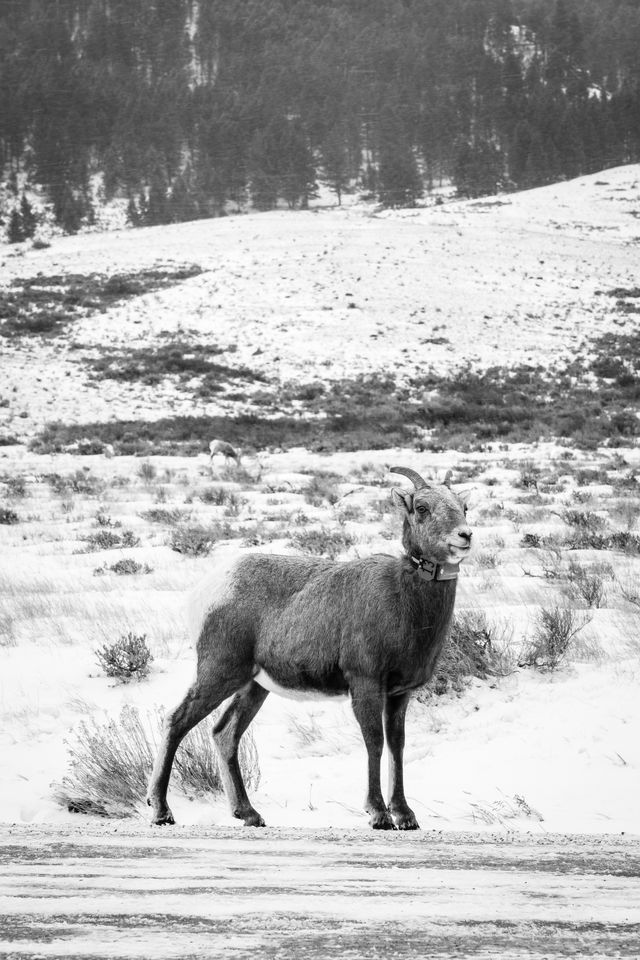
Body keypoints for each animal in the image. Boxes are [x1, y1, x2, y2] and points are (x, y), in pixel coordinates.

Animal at [149, 468, 470, 828]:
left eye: (464, 507)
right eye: (422, 508)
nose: (464, 535)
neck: (406, 602)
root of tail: (207, 590)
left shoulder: (400, 694)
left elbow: (396, 746)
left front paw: (405, 815)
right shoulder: (366, 684)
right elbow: (374, 742)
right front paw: (378, 814)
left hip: (253, 686)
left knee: (224, 733)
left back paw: (249, 814)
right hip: (219, 673)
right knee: (177, 721)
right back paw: (161, 811)